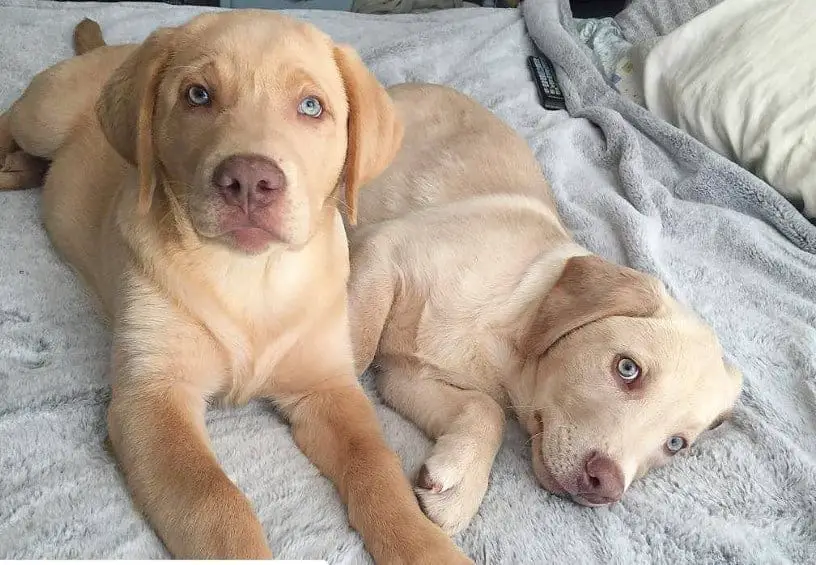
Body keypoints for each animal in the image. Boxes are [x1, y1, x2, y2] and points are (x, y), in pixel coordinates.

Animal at [0, 12, 472, 560]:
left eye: (311, 106)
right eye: (197, 95)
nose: (249, 180)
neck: (252, 275)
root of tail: (115, 48)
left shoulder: (328, 387)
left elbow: (376, 463)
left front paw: (423, 543)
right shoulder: (152, 397)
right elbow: (213, 501)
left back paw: (18, 170)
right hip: (46, 113)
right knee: (11, 117)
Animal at [348, 82, 744, 532]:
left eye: (676, 444)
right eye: (627, 369)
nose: (605, 487)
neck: (509, 339)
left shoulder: (405, 376)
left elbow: (486, 410)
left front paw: (460, 480)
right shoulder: (384, 250)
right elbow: (356, 350)